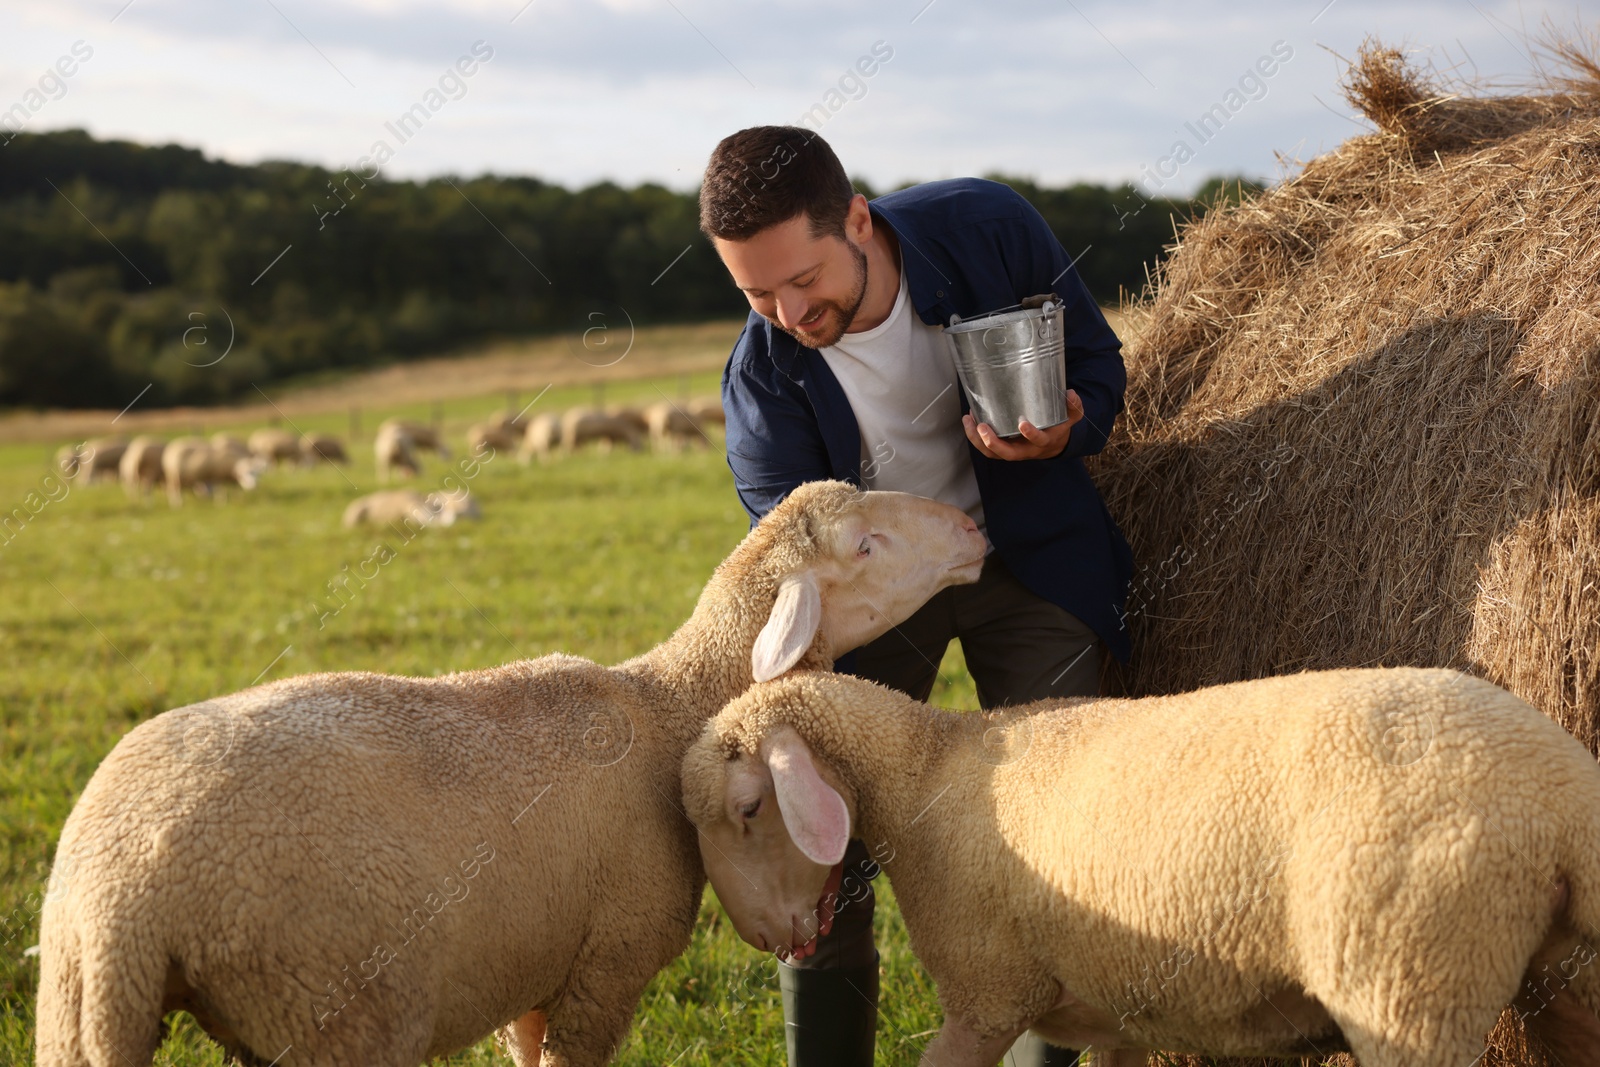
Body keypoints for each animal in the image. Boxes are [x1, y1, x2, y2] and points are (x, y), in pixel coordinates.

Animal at [34, 483, 985, 1067]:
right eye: (866, 544)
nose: (976, 529)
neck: (673, 699)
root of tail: (124, 898)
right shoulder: (608, 961)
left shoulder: (537, 966)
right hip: (336, 1009)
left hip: (80, 1006)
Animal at [688, 671, 1600, 1062]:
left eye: (749, 808)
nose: (763, 936)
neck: (923, 771)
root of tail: (1562, 803)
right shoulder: (1115, 1009)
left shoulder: (988, 995)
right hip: (1565, 988)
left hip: (1409, 982)